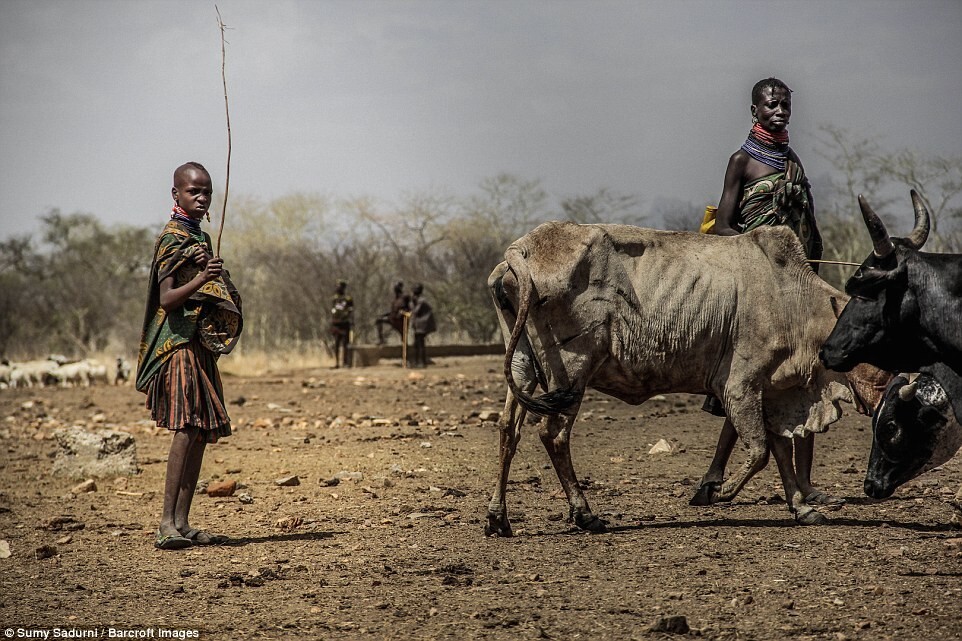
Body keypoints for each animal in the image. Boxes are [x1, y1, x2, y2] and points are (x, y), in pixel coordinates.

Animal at [488, 221, 884, 536]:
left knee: (509, 428)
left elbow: (781, 451)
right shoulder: (739, 386)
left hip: (523, 364)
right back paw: (585, 515)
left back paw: (498, 519)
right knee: (553, 434)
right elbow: (760, 452)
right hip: (571, 372)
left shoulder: (771, 393)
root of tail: (521, 250)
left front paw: (802, 508)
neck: (794, 302)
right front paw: (717, 492)